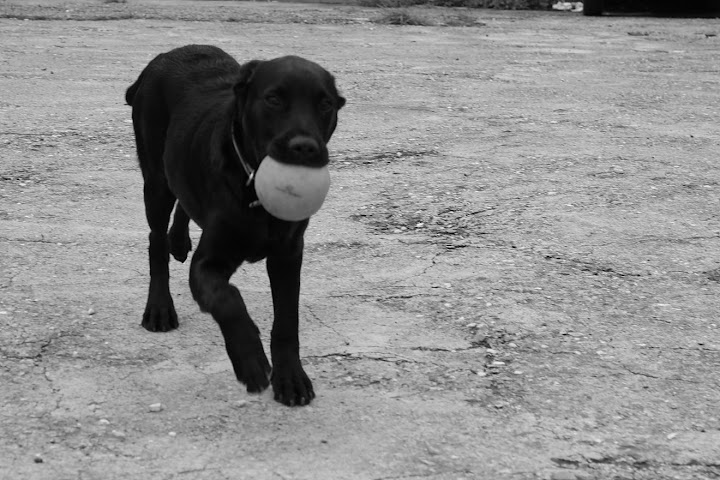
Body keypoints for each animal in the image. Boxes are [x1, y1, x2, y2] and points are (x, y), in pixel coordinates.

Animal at [125, 45, 345, 406]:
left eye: (325, 103)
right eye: (273, 99)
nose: (305, 147)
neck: (252, 188)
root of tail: (164, 55)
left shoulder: (288, 256)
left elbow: (287, 322)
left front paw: (291, 379)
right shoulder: (207, 265)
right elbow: (229, 299)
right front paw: (251, 361)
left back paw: (179, 242)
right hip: (155, 180)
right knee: (155, 241)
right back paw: (159, 308)